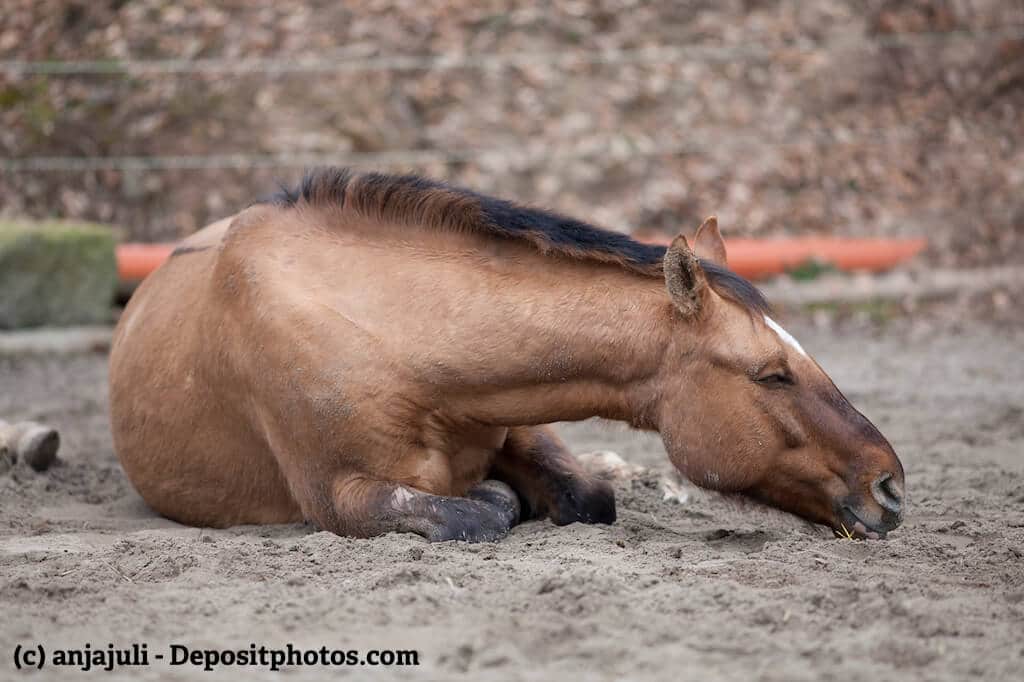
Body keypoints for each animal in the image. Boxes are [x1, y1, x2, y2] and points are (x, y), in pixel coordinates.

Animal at [109, 168, 905, 542]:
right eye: (771, 374)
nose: (891, 486)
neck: (396, 336)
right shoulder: (341, 496)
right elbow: (477, 511)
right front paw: (498, 500)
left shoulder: (519, 417)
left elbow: (587, 495)